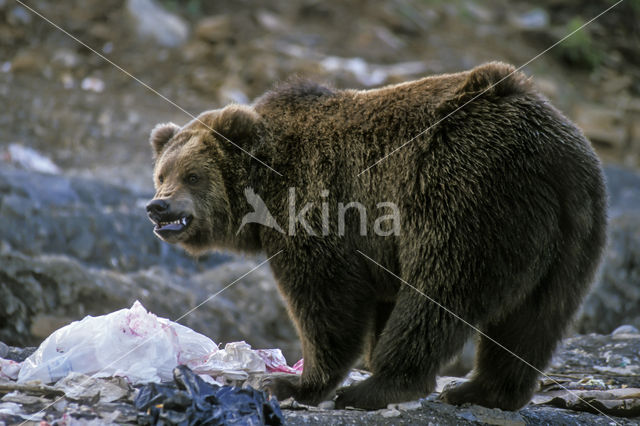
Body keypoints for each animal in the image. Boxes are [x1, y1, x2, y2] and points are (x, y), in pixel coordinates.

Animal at [148, 61, 608, 412]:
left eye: (192, 175)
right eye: (162, 174)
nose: (158, 206)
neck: (266, 182)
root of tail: (552, 158)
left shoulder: (319, 206)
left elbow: (326, 300)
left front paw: (294, 384)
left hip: (465, 195)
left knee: (436, 295)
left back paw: (378, 388)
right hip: (573, 232)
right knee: (536, 319)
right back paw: (481, 391)